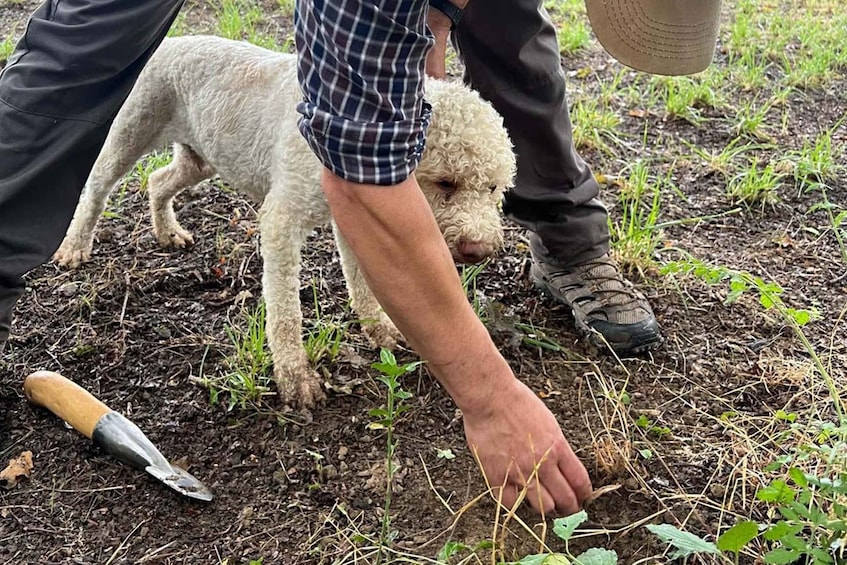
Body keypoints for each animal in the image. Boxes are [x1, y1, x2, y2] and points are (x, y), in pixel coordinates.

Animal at [56, 35, 516, 406]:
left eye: (493, 187)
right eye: (445, 182)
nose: (479, 250)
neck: (362, 140)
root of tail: (169, 42)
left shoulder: (357, 216)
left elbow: (362, 282)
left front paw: (378, 329)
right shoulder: (281, 221)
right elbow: (285, 312)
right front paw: (295, 376)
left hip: (199, 159)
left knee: (157, 181)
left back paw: (167, 231)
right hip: (130, 131)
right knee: (95, 187)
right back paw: (74, 246)